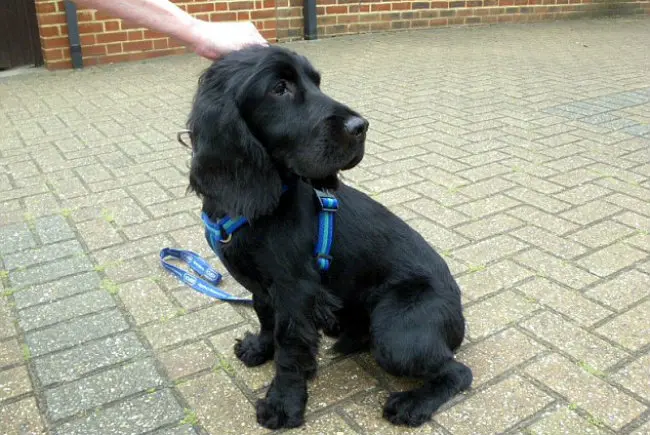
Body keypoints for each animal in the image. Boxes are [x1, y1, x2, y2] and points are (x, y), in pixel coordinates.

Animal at [187, 44, 470, 430]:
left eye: (316, 82)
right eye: (279, 88)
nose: (360, 127)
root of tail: (459, 314)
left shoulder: (296, 291)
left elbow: (290, 348)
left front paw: (283, 405)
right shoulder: (266, 288)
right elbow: (265, 316)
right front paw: (259, 348)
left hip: (397, 332)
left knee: (458, 371)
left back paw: (412, 404)